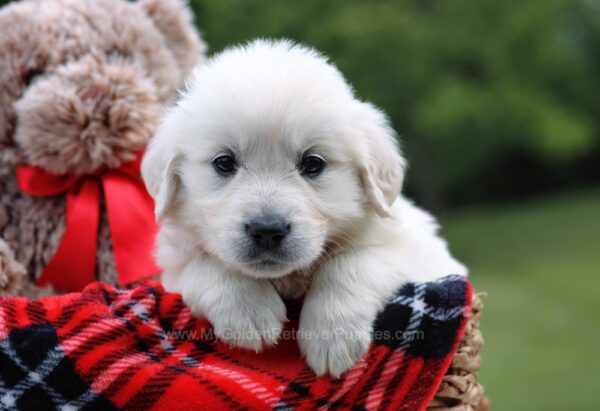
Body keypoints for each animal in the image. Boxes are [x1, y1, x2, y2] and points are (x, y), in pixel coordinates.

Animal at [143, 40, 466, 378]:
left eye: (312, 163)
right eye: (224, 162)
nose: (267, 230)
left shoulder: (411, 250)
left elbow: (350, 263)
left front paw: (332, 336)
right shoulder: (174, 263)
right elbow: (205, 264)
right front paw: (250, 313)